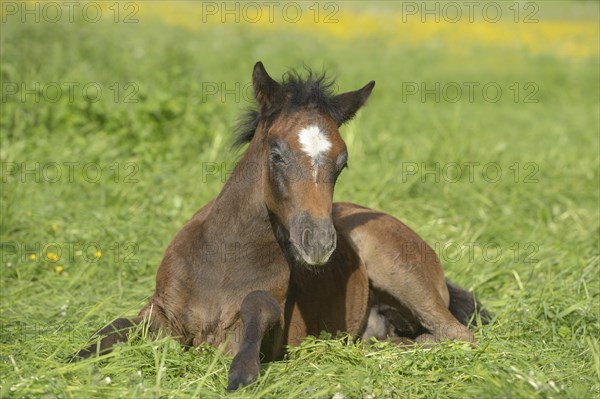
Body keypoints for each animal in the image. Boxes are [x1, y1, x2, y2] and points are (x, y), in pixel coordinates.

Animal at [75, 62, 488, 390]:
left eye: (342, 162)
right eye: (276, 153)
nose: (319, 243)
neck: (224, 257)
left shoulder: (252, 334)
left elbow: (258, 309)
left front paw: (242, 374)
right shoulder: (161, 312)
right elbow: (115, 326)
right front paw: (75, 359)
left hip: (400, 271)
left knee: (458, 334)